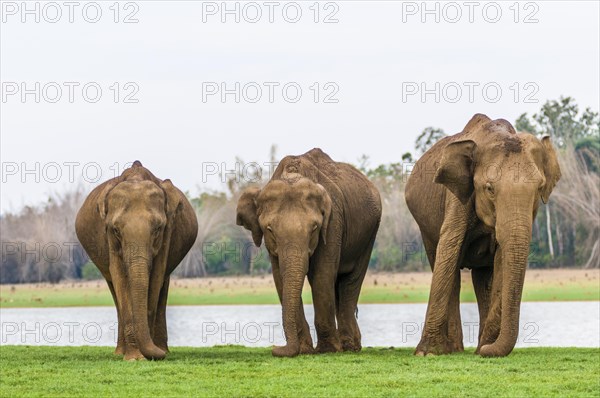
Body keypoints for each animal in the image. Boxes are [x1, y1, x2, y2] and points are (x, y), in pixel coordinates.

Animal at [74, 160, 197, 360]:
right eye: (116, 230)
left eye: (157, 229)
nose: (159, 355)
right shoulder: (109, 238)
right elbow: (119, 276)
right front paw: (134, 358)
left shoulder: (168, 232)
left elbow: (156, 277)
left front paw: (149, 354)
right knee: (114, 289)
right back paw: (120, 353)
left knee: (163, 284)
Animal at [234, 148, 380, 358]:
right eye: (269, 229)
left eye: (314, 228)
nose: (275, 348)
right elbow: (280, 277)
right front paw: (304, 350)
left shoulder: (333, 221)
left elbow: (322, 275)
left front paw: (327, 350)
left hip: (369, 233)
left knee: (350, 281)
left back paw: (349, 347)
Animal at [406, 112, 560, 358]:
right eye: (489, 189)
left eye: (539, 188)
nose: (488, 350)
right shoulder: (457, 198)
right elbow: (448, 250)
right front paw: (427, 353)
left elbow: (501, 261)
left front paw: (485, 348)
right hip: (425, 227)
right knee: (449, 270)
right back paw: (452, 350)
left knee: (482, 278)